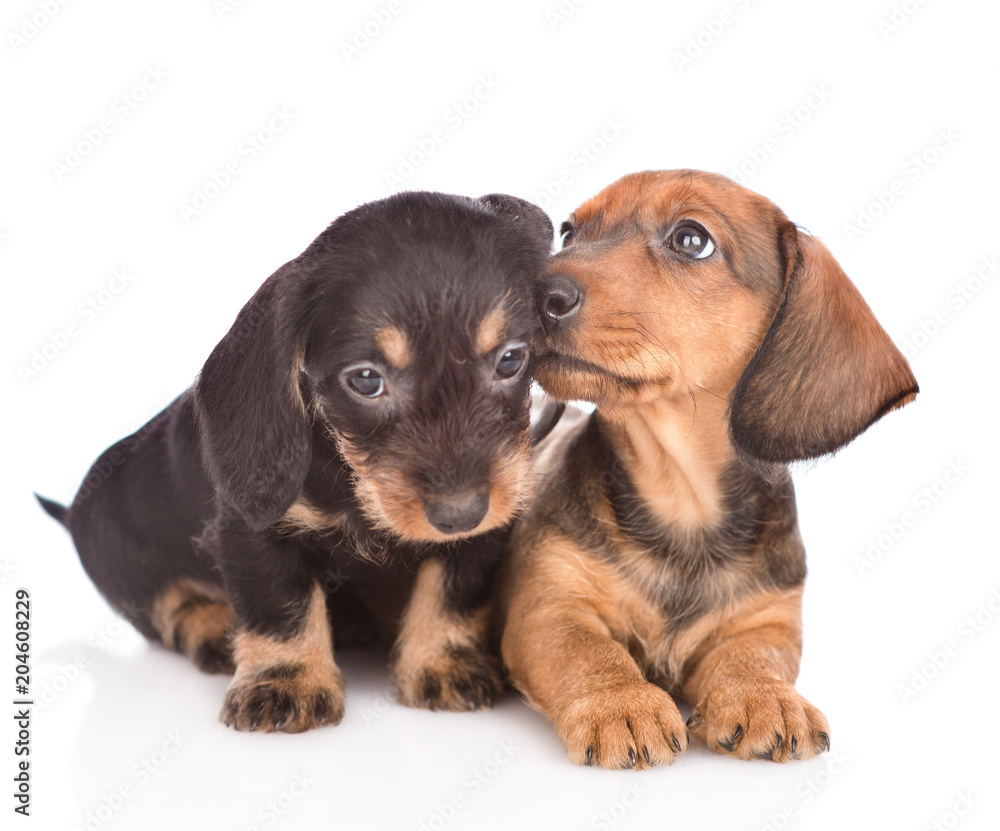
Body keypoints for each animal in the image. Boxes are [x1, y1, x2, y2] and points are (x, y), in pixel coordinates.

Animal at [37, 190, 556, 736]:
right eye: (366, 379)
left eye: (510, 360)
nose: (461, 513)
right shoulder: (249, 528)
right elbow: (279, 601)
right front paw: (286, 681)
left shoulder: (493, 516)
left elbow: (454, 585)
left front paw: (442, 659)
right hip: (122, 557)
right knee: (169, 608)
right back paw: (214, 629)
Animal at [500, 171, 920, 772]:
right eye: (570, 232)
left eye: (691, 240)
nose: (538, 293)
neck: (682, 500)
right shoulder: (548, 604)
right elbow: (588, 650)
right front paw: (620, 701)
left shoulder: (767, 620)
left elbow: (755, 656)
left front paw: (765, 696)